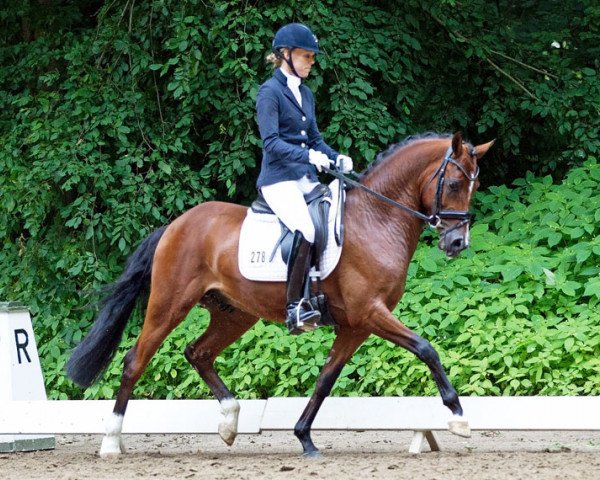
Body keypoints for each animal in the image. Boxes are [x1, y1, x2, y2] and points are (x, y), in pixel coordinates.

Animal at [67, 131, 492, 458]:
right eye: (454, 184)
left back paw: (229, 422)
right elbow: (426, 349)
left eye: (475, 186)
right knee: (134, 361)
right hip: (168, 305)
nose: (457, 243)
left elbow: (325, 379)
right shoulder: (370, 313)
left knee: (198, 353)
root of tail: (175, 225)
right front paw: (458, 417)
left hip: (235, 314)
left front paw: (304, 438)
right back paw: (111, 442)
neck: (376, 219)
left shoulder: (355, 326)